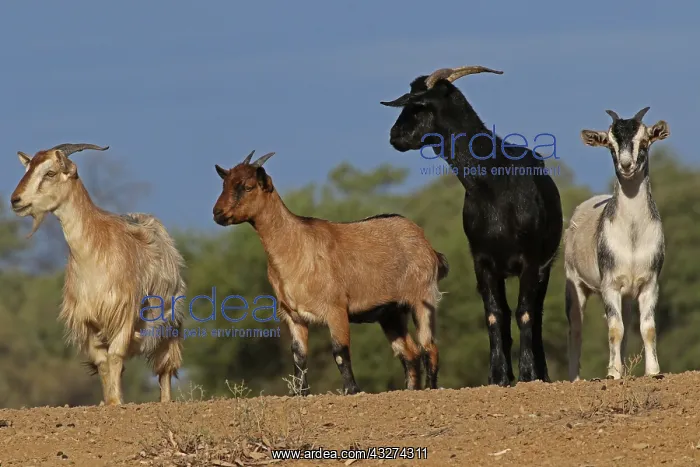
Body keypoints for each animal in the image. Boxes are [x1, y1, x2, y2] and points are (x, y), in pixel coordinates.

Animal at [10, 143, 186, 405]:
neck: (93, 257)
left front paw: (118, 402)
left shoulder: (124, 313)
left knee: (165, 365)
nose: (16, 200)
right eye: (27, 169)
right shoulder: (87, 320)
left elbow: (116, 355)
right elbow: (103, 362)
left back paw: (165, 401)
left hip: (169, 321)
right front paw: (110, 401)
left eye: (50, 173)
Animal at [212, 150, 449, 395]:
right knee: (409, 353)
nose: (217, 213)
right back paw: (410, 391)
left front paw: (352, 391)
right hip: (390, 312)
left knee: (428, 347)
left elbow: (340, 352)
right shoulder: (293, 316)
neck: (296, 246)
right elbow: (299, 356)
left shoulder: (336, 309)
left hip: (422, 297)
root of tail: (428, 246)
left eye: (248, 186)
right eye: (224, 183)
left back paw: (431, 389)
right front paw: (300, 393)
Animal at [381, 65, 563, 386]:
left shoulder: (530, 261)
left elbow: (525, 313)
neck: (493, 184)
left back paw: (541, 373)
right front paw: (498, 376)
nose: (395, 136)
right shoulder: (482, 261)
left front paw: (528, 374)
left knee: (536, 313)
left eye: (420, 105)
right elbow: (494, 315)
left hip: (545, 265)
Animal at [565, 107, 669, 381]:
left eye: (644, 142)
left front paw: (653, 372)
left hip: (628, 295)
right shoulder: (609, 284)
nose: (626, 165)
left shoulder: (649, 284)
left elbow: (647, 328)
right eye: (610, 145)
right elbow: (614, 328)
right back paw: (575, 378)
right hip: (575, 282)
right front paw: (612, 374)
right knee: (576, 329)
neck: (632, 236)